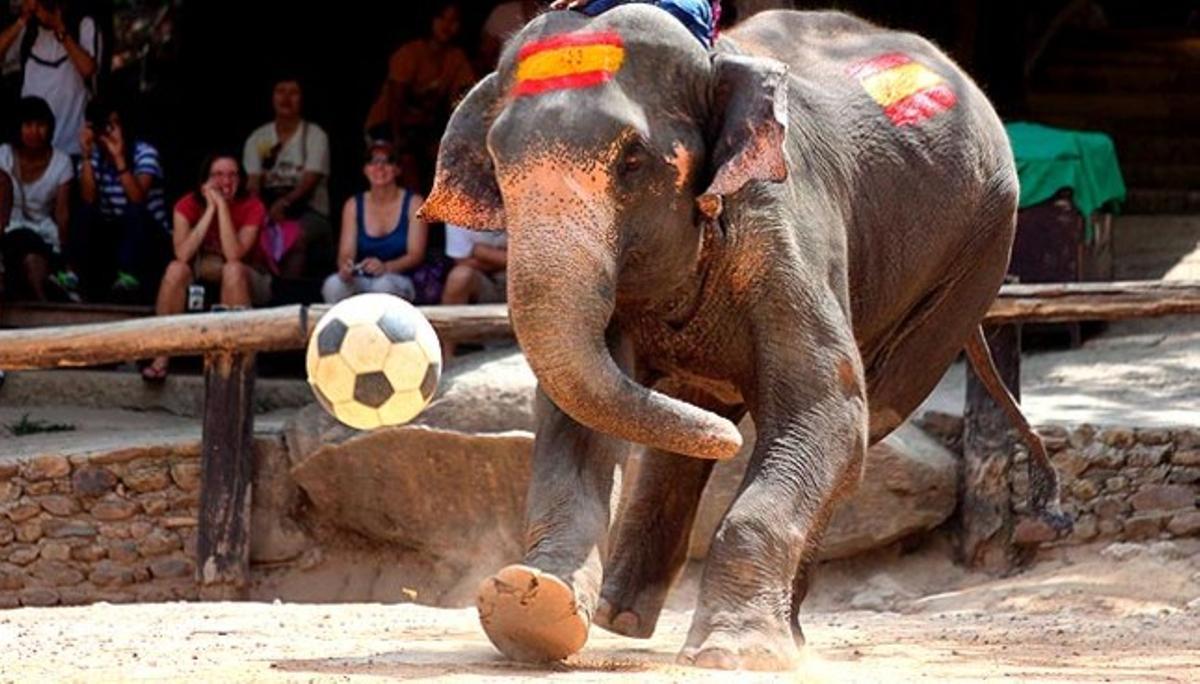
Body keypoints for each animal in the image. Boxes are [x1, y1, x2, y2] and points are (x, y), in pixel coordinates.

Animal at [420, 6, 1067, 671]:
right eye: (497, 164)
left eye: (632, 163)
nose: (731, 441)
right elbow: (574, 420)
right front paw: (532, 607)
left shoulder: (784, 229)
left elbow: (827, 412)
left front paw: (732, 653)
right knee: (689, 425)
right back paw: (622, 617)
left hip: (971, 263)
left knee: (869, 422)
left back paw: (785, 634)